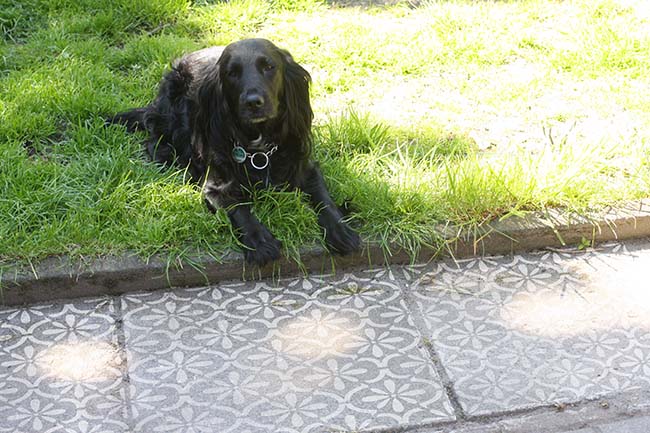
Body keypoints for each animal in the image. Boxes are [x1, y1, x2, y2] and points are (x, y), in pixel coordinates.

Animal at [107, 38, 360, 264]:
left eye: (269, 67)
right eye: (232, 73)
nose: (253, 102)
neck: (259, 149)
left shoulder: (305, 167)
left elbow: (323, 197)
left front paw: (340, 229)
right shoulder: (215, 184)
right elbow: (238, 208)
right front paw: (259, 241)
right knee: (155, 140)